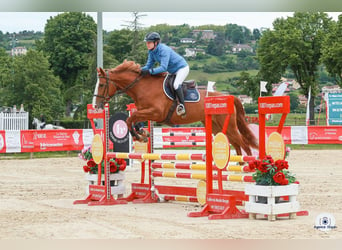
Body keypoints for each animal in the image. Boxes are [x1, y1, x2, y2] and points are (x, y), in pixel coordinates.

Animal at [92, 59, 258, 155]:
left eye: (101, 85)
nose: (95, 105)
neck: (143, 87)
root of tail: (230, 97)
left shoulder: (155, 113)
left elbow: (129, 119)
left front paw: (139, 136)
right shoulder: (144, 111)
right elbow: (132, 119)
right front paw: (143, 134)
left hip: (229, 125)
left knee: (243, 144)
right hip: (217, 127)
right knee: (236, 144)